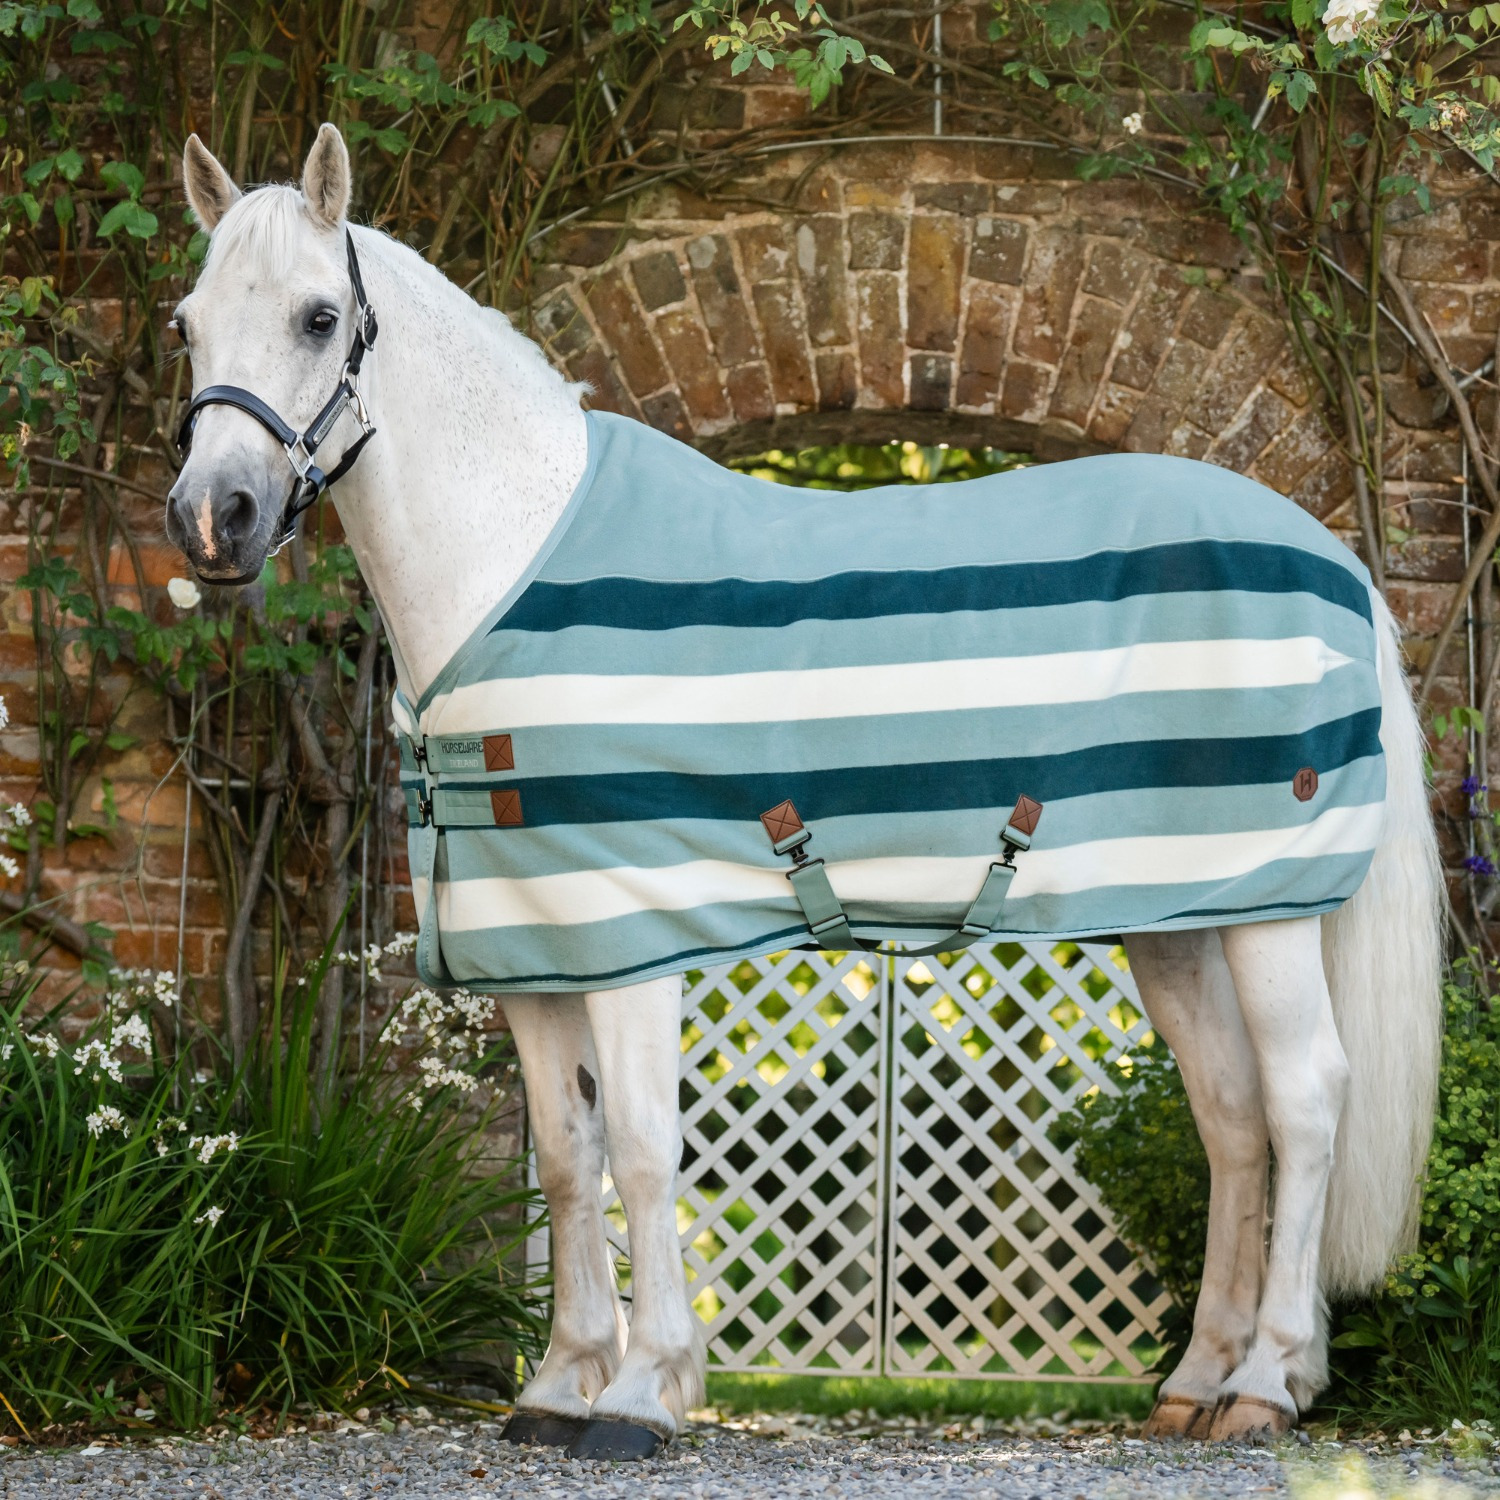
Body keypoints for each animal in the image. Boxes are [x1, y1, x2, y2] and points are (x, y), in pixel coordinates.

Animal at [165, 123, 1443, 1458]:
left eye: (318, 316)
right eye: (187, 324)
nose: (213, 519)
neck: (509, 562)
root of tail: (1335, 557)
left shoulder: (633, 932)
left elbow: (642, 1149)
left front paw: (642, 1393)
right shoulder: (531, 946)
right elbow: (568, 1157)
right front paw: (559, 1384)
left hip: (1271, 911)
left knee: (1305, 1102)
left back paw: (1270, 1380)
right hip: (1178, 919)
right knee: (1232, 1117)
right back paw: (1200, 1379)